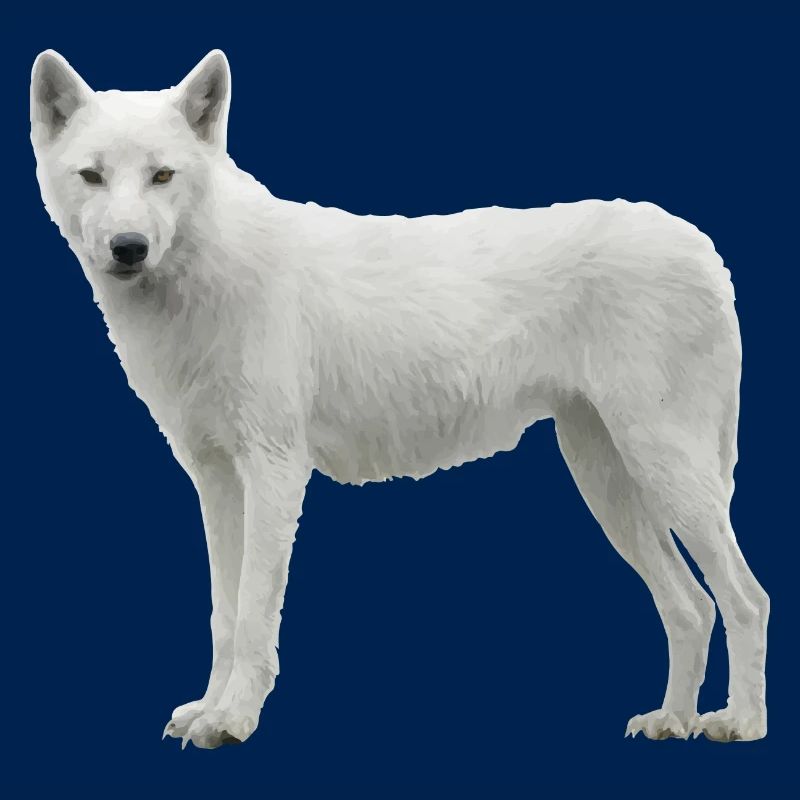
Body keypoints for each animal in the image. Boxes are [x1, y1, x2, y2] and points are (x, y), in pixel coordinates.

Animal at [30, 49, 769, 749]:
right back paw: (672, 720)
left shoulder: (274, 471)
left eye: (162, 176)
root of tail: (701, 246)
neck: (206, 276)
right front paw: (208, 711)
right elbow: (223, 614)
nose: (129, 248)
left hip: (664, 471)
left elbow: (253, 614)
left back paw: (739, 722)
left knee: (745, 599)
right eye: (92, 176)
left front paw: (234, 720)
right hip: (608, 481)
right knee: (691, 607)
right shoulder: (214, 480)